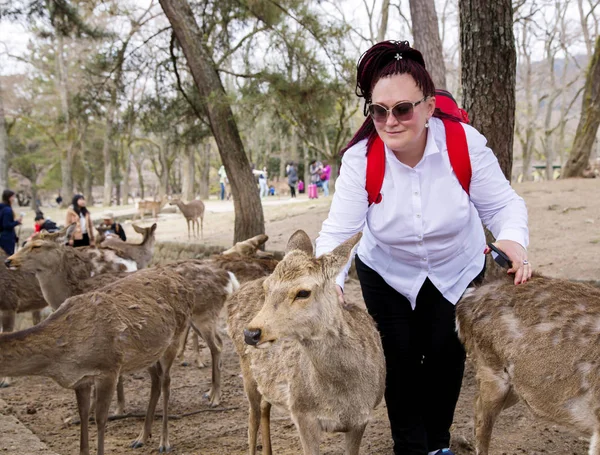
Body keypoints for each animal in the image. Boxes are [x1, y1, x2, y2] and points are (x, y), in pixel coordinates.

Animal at [0, 268, 195, 455]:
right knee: (156, 379)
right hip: (147, 354)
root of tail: (183, 281)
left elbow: (100, 419)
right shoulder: (80, 380)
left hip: (175, 337)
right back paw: (142, 438)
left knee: (167, 381)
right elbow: (84, 415)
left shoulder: (109, 369)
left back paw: (164, 442)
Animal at [227, 232, 386, 455]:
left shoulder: (361, 419)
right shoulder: (302, 413)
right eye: (267, 288)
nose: (251, 333)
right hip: (246, 372)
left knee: (265, 406)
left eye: (303, 292)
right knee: (252, 418)